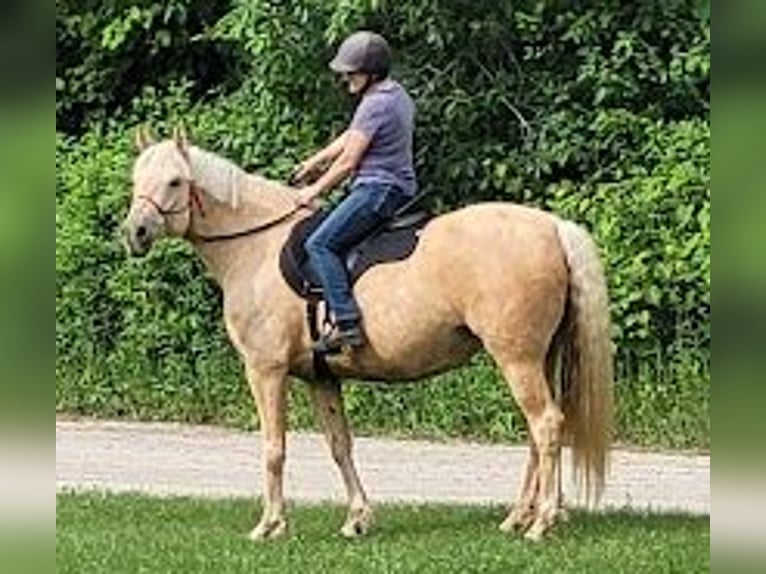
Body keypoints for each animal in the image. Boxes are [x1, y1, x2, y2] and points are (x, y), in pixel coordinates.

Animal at [120, 127, 616, 544]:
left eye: (175, 182)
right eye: (136, 179)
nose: (135, 232)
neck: (254, 248)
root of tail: (552, 227)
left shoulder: (266, 370)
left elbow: (273, 449)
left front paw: (270, 525)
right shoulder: (321, 377)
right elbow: (340, 445)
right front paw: (357, 518)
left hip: (517, 358)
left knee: (546, 424)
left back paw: (542, 522)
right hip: (539, 357)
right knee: (537, 432)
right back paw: (519, 517)